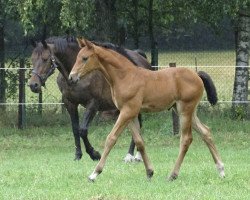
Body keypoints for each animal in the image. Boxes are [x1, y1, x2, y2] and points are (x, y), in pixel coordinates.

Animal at [68, 38, 225, 182]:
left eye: (85, 58)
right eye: (77, 57)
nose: (71, 77)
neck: (125, 76)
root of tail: (197, 75)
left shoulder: (127, 111)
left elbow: (111, 138)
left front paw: (94, 173)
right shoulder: (129, 113)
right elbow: (139, 142)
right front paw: (149, 171)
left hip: (185, 109)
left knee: (186, 139)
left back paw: (173, 175)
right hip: (185, 111)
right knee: (206, 132)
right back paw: (221, 170)